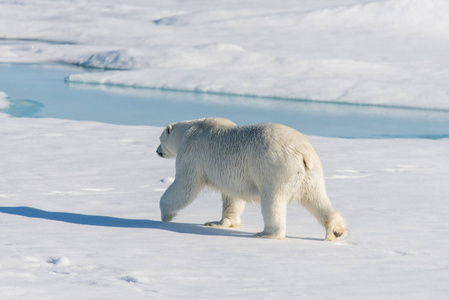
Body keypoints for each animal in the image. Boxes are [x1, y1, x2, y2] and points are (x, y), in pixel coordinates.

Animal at [156, 118, 344, 240]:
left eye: (160, 139)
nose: (157, 151)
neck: (191, 130)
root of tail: (304, 152)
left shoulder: (193, 154)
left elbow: (185, 186)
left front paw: (165, 215)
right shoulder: (230, 176)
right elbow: (232, 197)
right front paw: (217, 222)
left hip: (276, 167)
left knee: (272, 200)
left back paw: (266, 233)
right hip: (311, 173)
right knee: (316, 197)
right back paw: (336, 230)